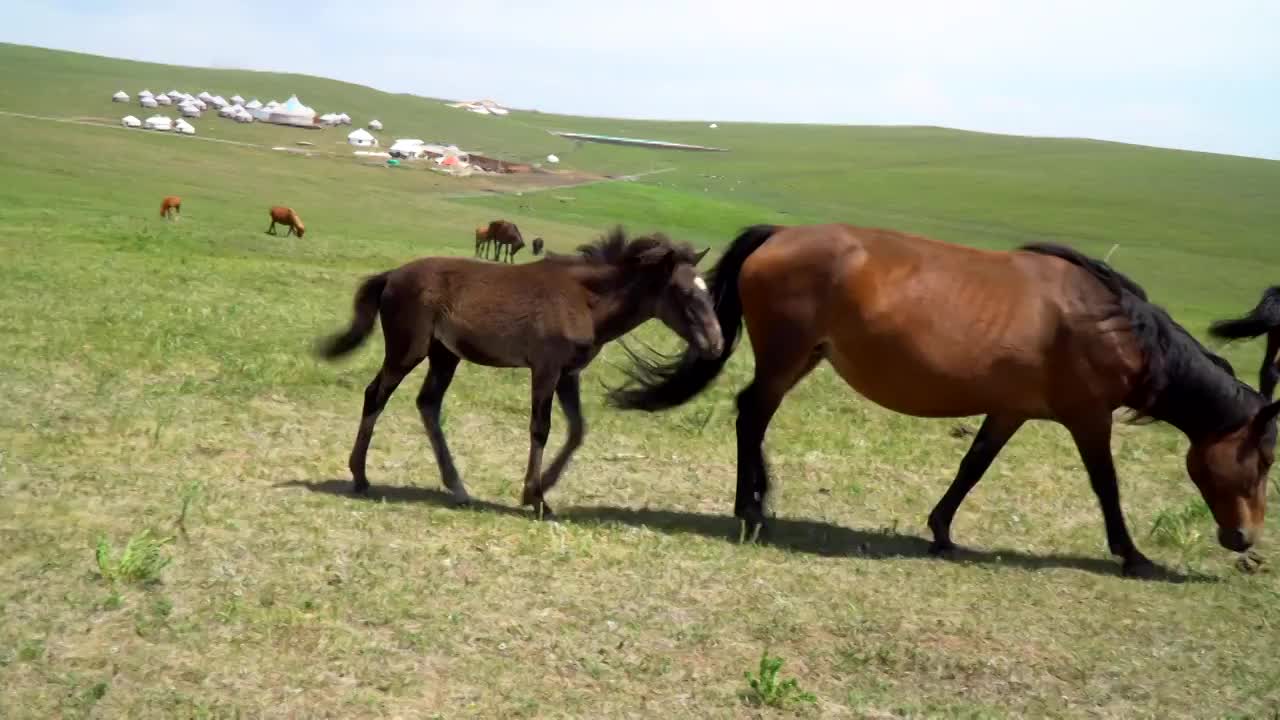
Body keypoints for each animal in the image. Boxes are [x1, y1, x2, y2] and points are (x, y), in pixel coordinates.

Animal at [316, 226, 727, 512]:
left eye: (708, 292)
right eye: (685, 293)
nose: (716, 344)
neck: (585, 299)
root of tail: (391, 275)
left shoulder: (568, 372)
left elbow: (577, 429)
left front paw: (542, 488)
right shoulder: (545, 368)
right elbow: (541, 428)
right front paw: (535, 496)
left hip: (445, 355)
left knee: (428, 404)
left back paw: (458, 488)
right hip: (407, 350)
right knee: (377, 394)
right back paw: (360, 475)